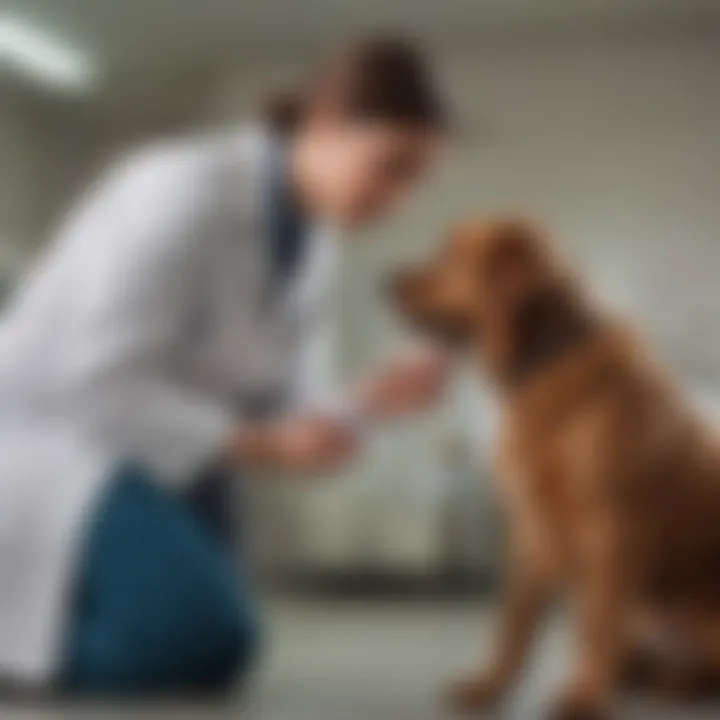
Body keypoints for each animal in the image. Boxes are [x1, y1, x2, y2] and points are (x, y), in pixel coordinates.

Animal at [390, 219, 720, 720]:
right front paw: (489, 686)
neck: (544, 362)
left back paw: (675, 684)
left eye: (450, 253)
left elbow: (596, 623)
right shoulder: (531, 527)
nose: (381, 282)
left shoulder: (612, 530)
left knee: (697, 668)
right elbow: (514, 622)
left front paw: (581, 697)